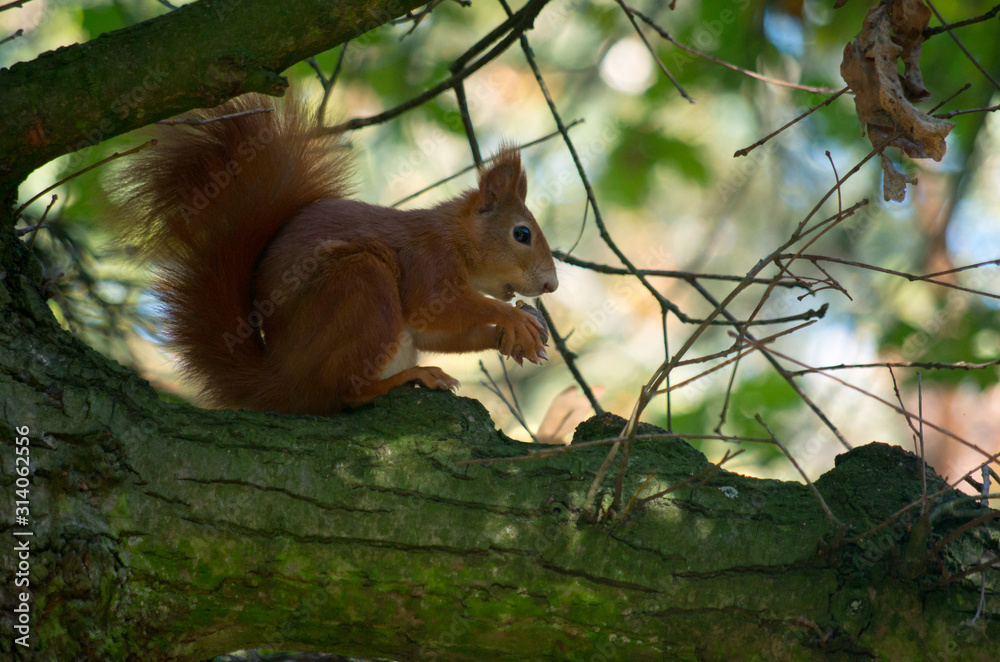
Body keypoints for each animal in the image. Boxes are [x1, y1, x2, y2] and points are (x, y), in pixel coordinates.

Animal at [113, 94, 560, 416]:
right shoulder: (427, 260)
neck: (457, 239)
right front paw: (514, 318)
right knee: (346, 393)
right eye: (522, 234)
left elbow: (433, 332)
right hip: (360, 285)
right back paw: (409, 376)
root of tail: (282, 381)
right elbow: (434, 307)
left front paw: (509, 339)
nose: (551, 285)